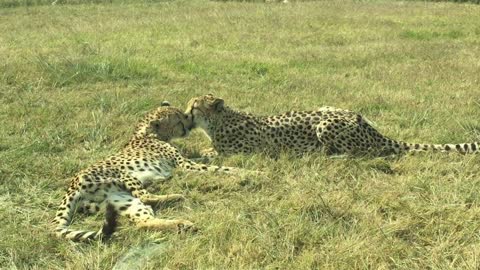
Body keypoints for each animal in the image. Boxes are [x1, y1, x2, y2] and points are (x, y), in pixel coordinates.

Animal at [53, 102, 244, 242]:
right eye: (180, 120)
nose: (190, 123)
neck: (147, 133)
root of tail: (71, 187)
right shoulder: (184, 165)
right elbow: (217, 168)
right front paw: (245, 172)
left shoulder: (185, 161)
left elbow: (205, 159)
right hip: (122, 175)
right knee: (145, 196)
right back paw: (176, 197)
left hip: (119, 200)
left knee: (144, 221)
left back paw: (181, 224)